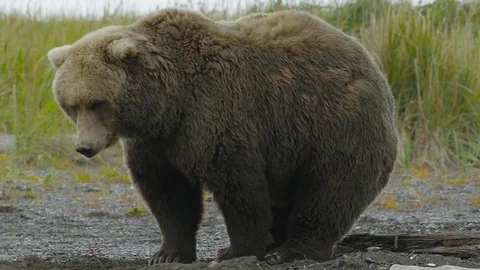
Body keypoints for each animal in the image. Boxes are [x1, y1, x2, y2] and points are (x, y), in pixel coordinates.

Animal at [46, 7, 398, 266]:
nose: (84, 147)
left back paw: (291, 250)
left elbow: (237, 185)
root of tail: (370, 61)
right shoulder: (156, 142)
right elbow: (168, 193)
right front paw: (167, 253)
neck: (169, 103)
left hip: (336, 125)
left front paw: (236, 250)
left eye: (97, 102)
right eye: (71, 105)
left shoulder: (216, 111)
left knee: (329, 190)